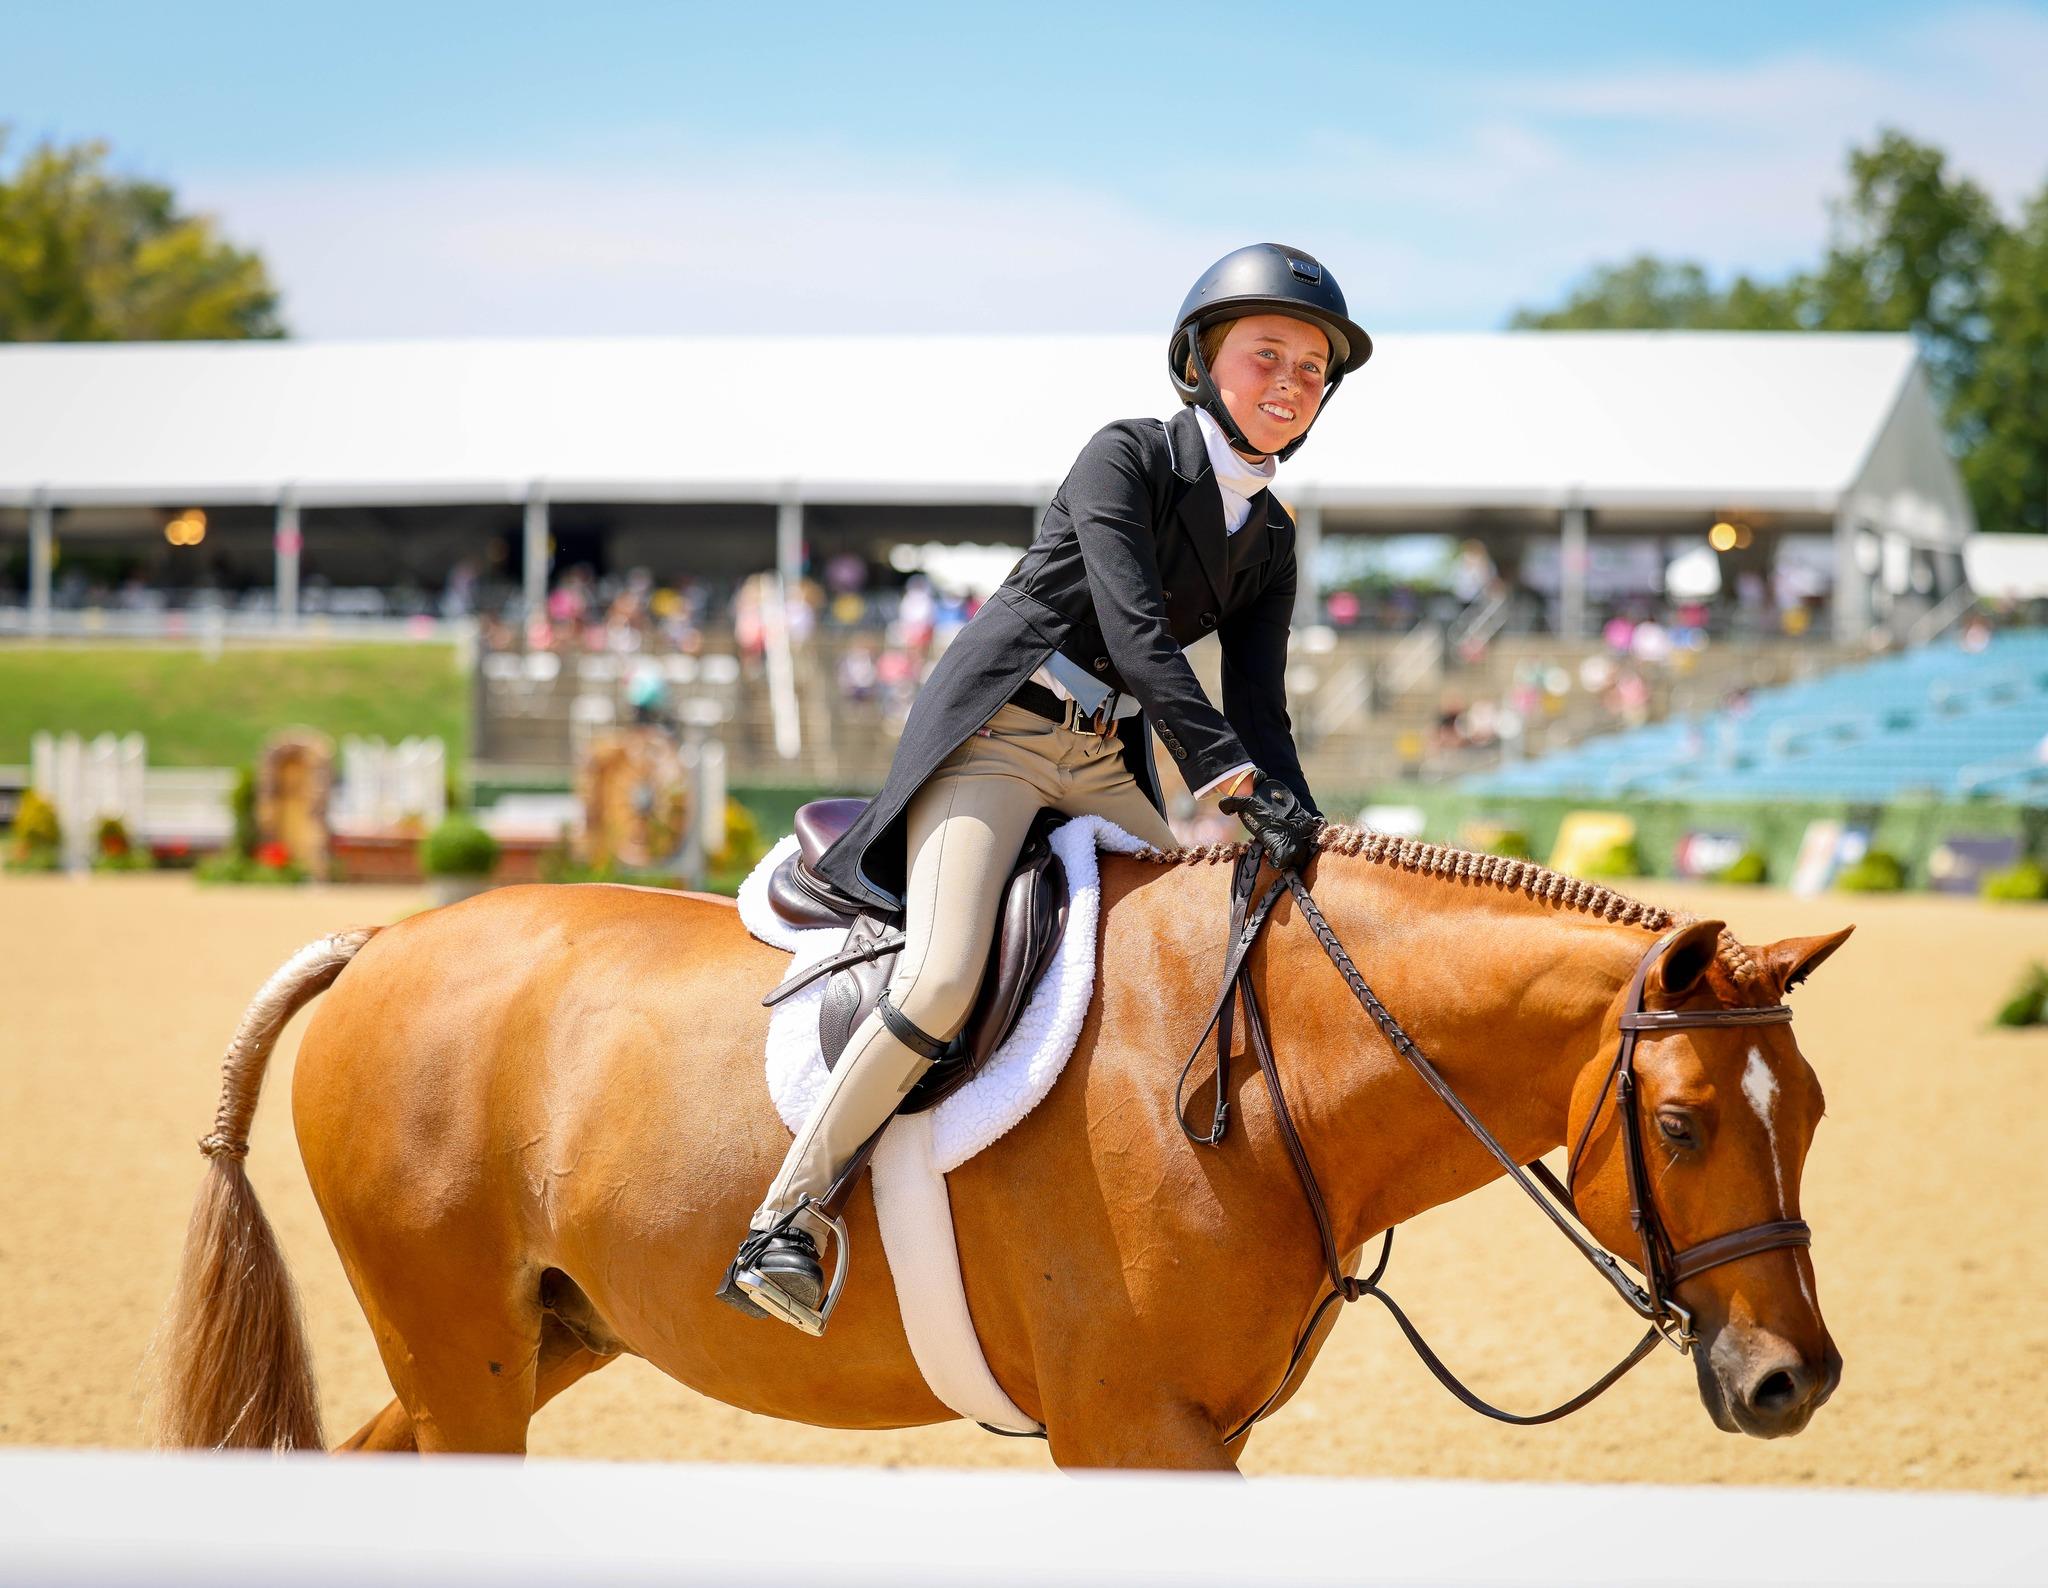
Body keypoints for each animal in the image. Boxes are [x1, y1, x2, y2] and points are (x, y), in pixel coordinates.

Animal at [147, 827, 1848, 1470]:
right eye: (1683, 1123)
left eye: (1815, 1116)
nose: (1794, 1382)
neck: (1258, 1072)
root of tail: (381, 943)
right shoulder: (1133, 1432)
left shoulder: (1197, 1434)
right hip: (468, 1360)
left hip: (530, 1344)